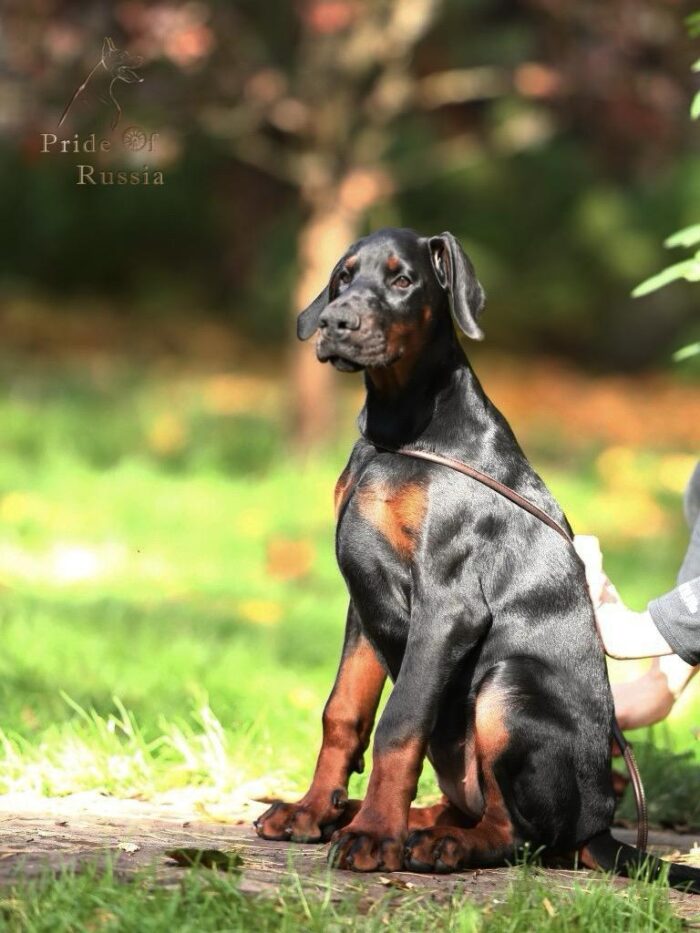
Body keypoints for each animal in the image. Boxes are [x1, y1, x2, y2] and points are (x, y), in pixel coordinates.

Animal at [255, 228, 700, 889]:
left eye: (403, 279)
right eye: (342, 277)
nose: (336, 322)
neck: (397, 435)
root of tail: (600, 829)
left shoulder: (448, 603)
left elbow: (398, 723)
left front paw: (372, 839)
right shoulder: (364, 598)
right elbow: (344, 713)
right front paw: (312, 810)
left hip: (508, 685)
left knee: (518, 833)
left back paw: (434, 842)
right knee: (468, 806)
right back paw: (391, 820)